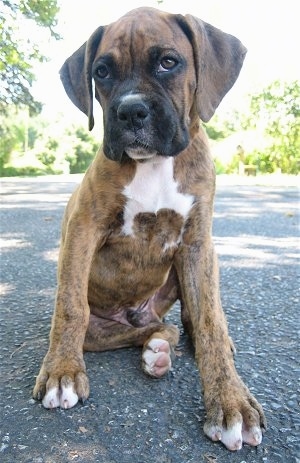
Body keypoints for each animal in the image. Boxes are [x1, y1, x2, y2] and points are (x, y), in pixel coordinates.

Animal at [32, 6, 266, 450]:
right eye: (102, 72)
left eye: (168, 62)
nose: (130, 111)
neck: (154, 163)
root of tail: (135, 316)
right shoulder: (83, 227)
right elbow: (69, 305)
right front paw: (62, 372)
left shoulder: (196, 242)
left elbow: (209, 320)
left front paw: (230, 400)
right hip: (105, 325)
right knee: (123, 330)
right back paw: (153, 348)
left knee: (185, 318)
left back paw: (166, 345)